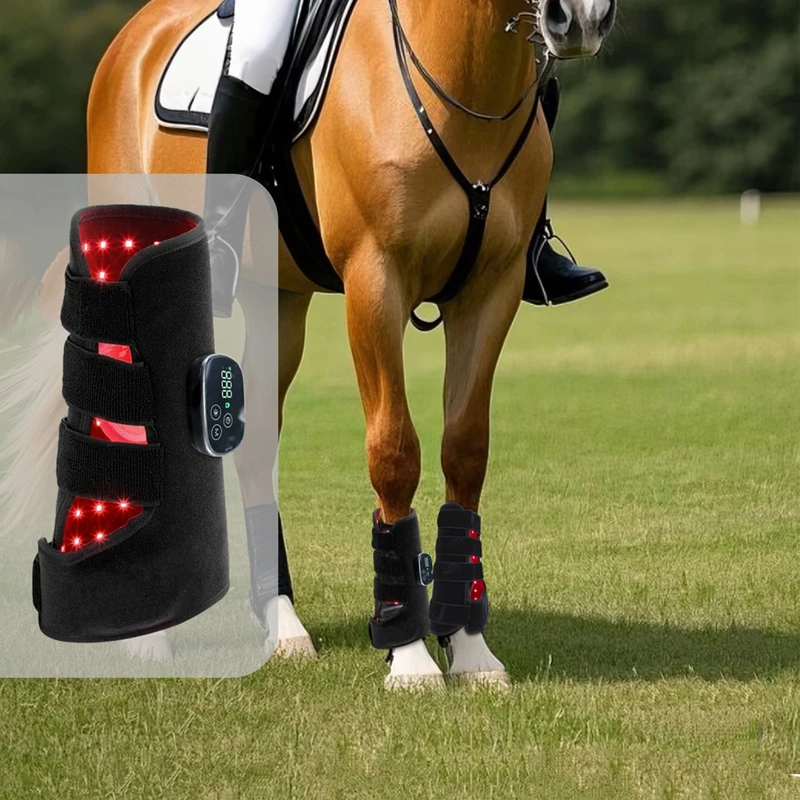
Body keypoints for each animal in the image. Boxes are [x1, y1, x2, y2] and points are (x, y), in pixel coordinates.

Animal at [14, 0, 616, 687]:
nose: (582, 20)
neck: (462, 79)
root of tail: (133, 36)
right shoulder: (374, 283)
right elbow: (394, 452)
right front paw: (408, 653)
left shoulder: (492, 290)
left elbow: (465, 452)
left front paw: (469, 649)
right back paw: (147, 634)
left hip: (275, 296)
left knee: (252, 446)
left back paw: (283, 626)